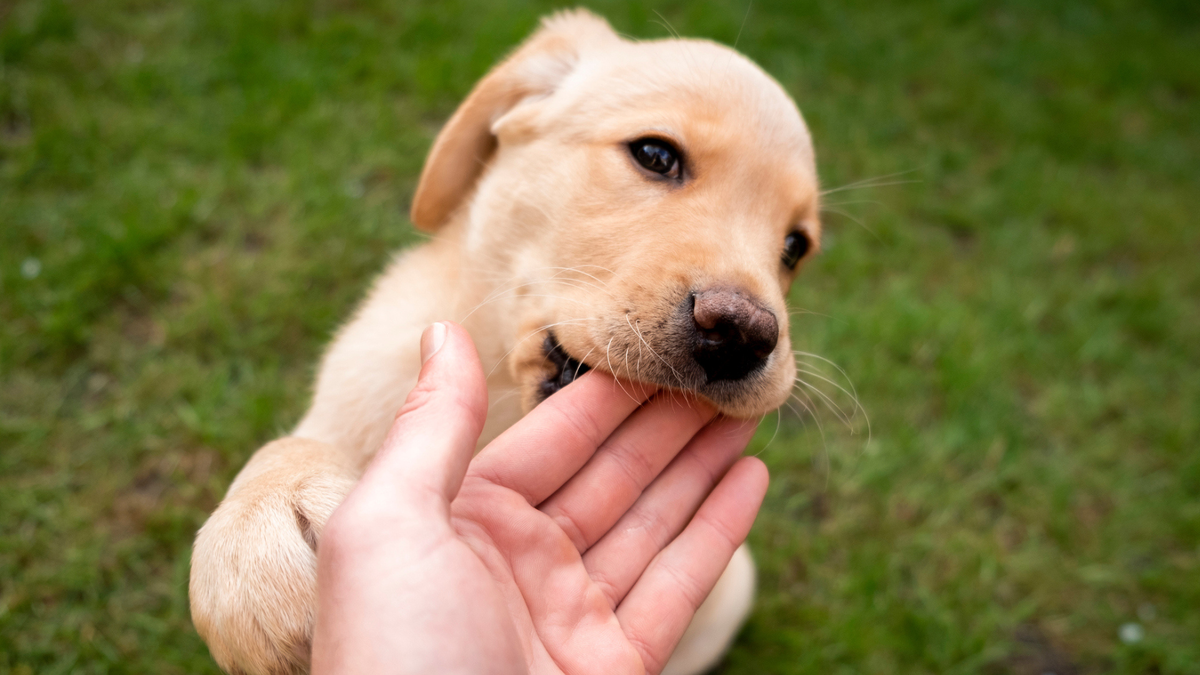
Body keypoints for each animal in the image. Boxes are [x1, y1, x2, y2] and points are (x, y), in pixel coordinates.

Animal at [187, 10, 820, 672]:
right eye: (655, 154)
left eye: (795, 247)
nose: (744, 335)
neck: (505, 409)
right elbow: (283, 447)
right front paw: (258, 531)